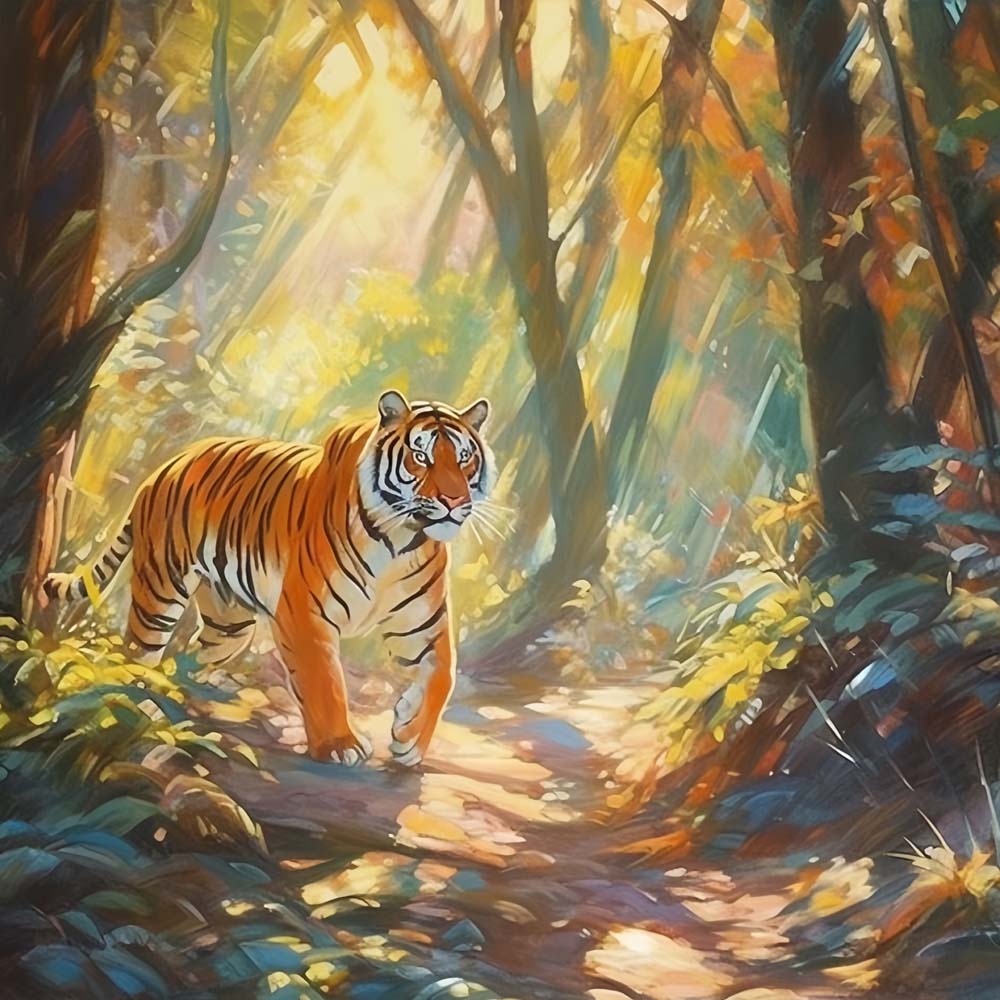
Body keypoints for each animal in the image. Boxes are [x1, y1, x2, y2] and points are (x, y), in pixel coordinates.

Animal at [44, 390, 494, 767]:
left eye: (464, 457)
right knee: (139, 653)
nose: (454, 501)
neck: (401, 540)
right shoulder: (306, 614)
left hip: (230, 620)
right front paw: (340, 744)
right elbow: (324, 681)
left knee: (195, 652)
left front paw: (409, 739)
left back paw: (199, 692)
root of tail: (168, 464)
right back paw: (131, 701)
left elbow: (442, 676)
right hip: (160, 590)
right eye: (421, 457)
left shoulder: (424, 624)